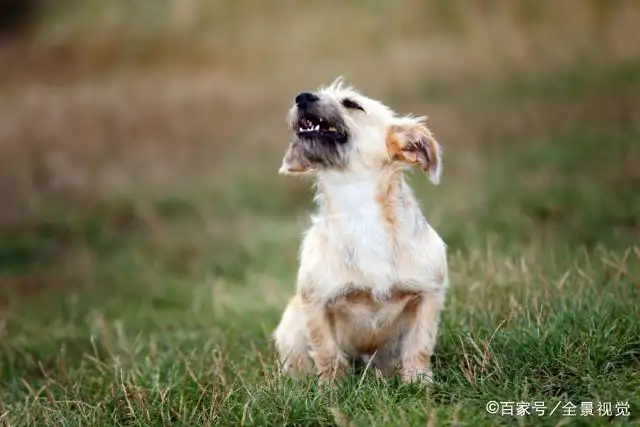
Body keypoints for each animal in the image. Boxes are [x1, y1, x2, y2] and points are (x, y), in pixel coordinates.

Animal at [272, 78, 448, 386]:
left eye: (352, 104)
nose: (302, 97)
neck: (358, 208)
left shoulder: (429, 293)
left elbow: (419, 344)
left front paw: (418, 382)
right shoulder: (315, 303)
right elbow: (327, 353)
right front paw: (331, 388)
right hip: (290, 327)